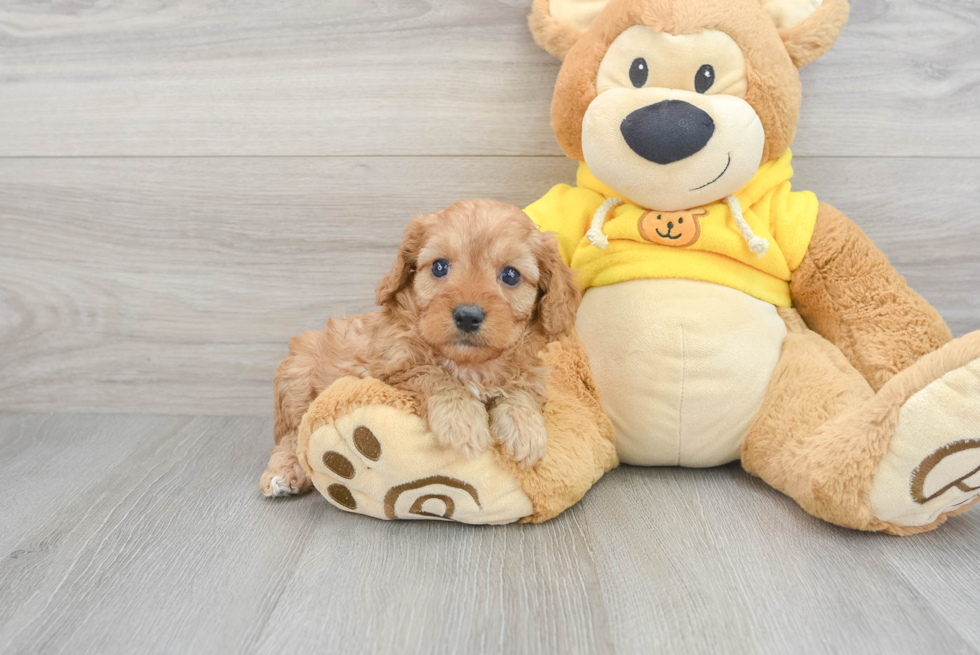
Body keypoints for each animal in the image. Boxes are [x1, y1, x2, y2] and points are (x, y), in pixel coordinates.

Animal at [262, 200, 580, 498]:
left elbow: (521, 389)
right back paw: (283, 474)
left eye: (511, 275)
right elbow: (433, 374)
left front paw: (526, 431)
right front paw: (461, 422)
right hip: (297, 380)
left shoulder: (526, 369)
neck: (469, 363)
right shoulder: (392, 366)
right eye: (440, 267)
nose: (467, 316)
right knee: (290, 437)